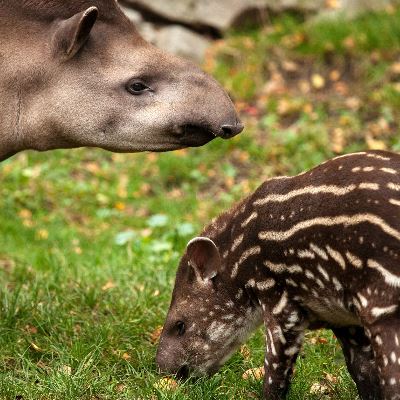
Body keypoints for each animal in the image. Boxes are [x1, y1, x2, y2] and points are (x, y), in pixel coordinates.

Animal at [158, 150, 400, 400]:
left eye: (180, 325)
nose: (163, 371)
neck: (241, 254)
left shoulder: (281, 304)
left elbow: (274, 373)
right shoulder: (342, 319)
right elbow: (363, 371)